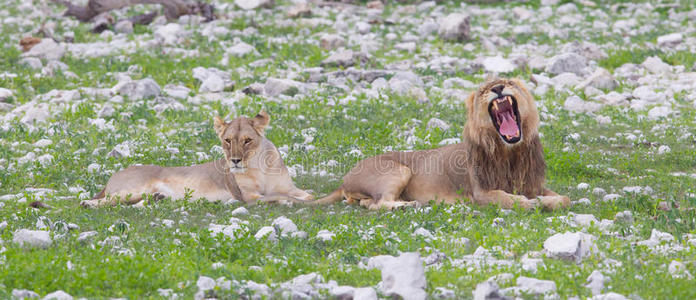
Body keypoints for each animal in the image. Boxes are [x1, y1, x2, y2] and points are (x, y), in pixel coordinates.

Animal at [79, 111, 312, 207]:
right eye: (227, 140)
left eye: (247, 141)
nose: (235, 161)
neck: (259, 167)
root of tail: (116, 174)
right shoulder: (248, 196)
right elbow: (277, 197)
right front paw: (286, 201)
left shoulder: (290, 187)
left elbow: (306, 195)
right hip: (131, 189)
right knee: (104, 200)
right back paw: (87, 203)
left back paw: (158, 198)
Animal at [312, 78, 568, 210]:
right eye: (484, 90)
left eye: (508, 82)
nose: (497, 88)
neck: (510, 152)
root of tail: (345, 177)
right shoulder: (480, 193)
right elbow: (509, 199)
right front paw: (529, 202)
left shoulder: (533, 184)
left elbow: (564, 199)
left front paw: (547, 200)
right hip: (398, 170)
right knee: (379, 204)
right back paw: (407, 205)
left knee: (368, 203)